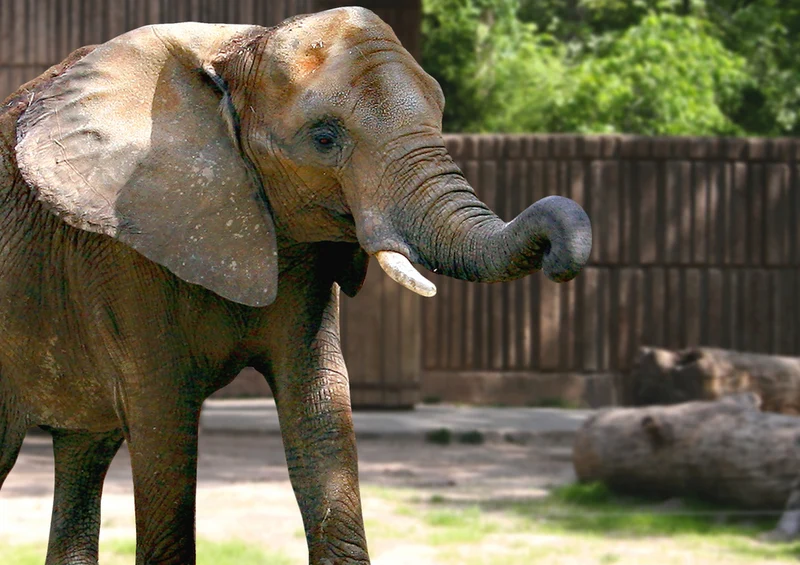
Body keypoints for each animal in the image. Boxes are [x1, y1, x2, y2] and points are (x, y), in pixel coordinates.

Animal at [0, 7, 591, 565]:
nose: (560, 252)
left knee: (84, 453)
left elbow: (320, 402)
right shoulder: (124, 245)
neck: (237, 53)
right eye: (325, 139)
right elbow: (164, 419)